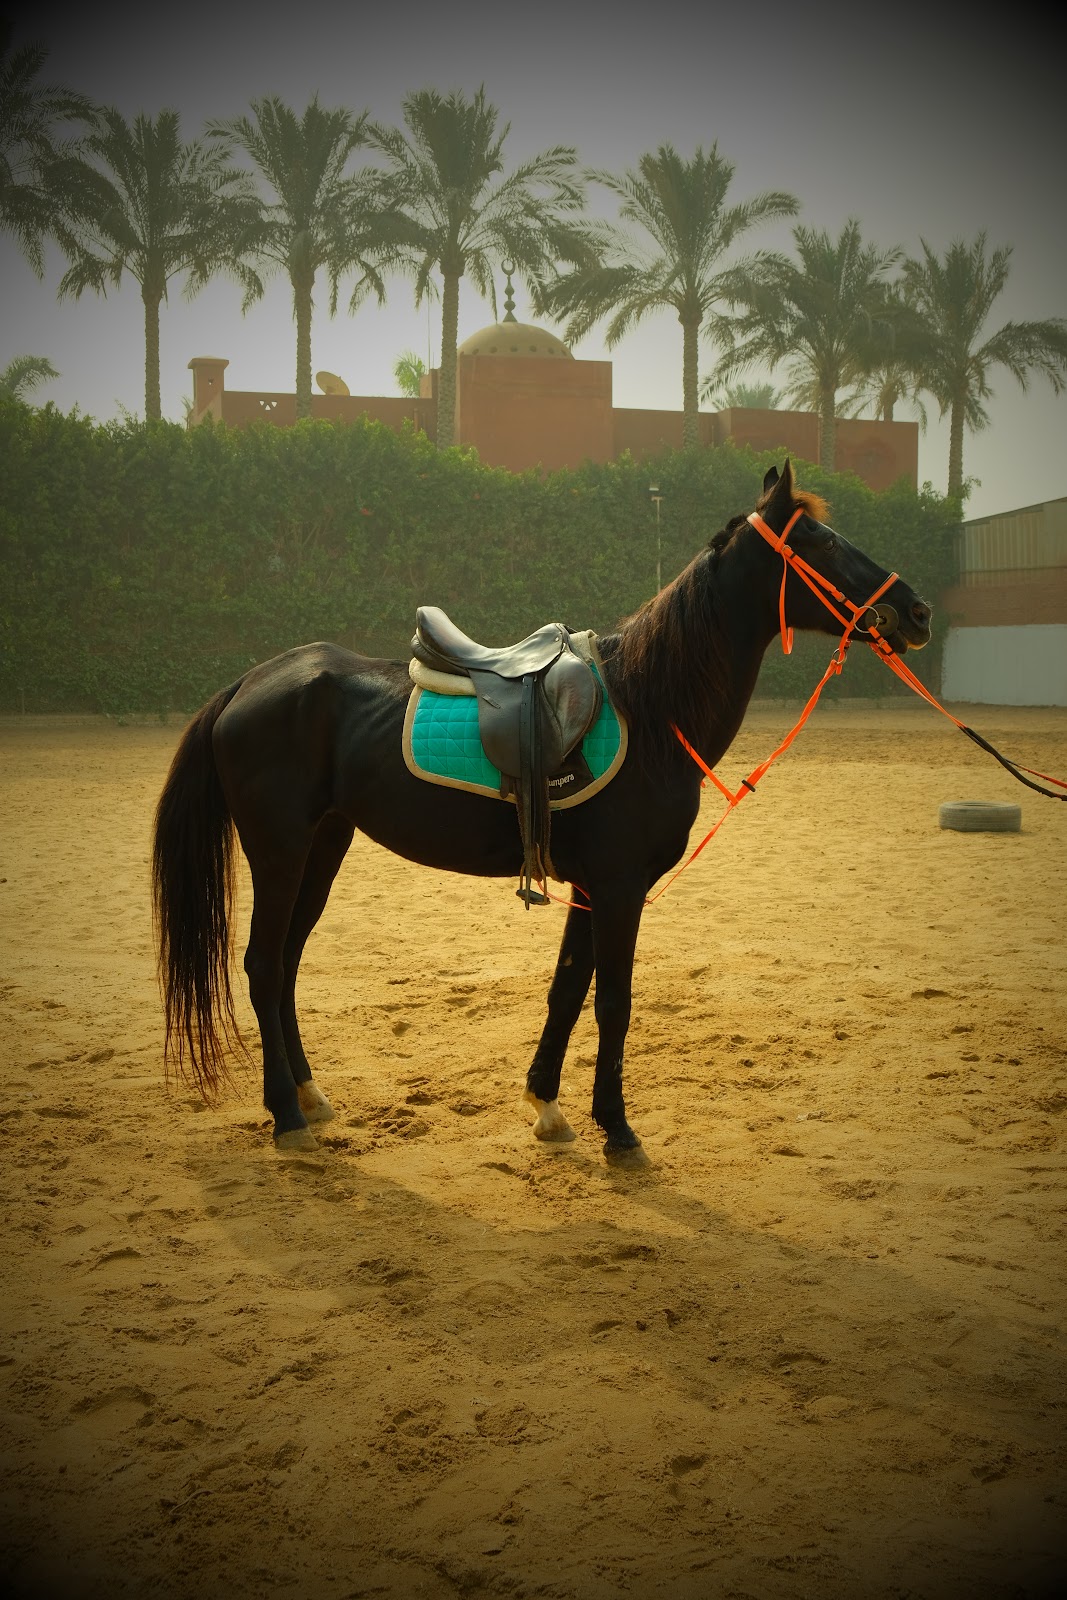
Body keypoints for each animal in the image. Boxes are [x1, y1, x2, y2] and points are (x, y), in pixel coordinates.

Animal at [152, 461, 933, 1163]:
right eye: (821, 542)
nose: (917, 612)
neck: (650, 705)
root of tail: (249, 682)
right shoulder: (619, 887)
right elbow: (613, 999)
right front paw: (617, 1128)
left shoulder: (590, 886)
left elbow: (567, 988)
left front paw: (548, 1108)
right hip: (279, 849)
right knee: (261, 963)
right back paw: (286, 1116)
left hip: (323, 846)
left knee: (284, 963)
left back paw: (310, 1097)